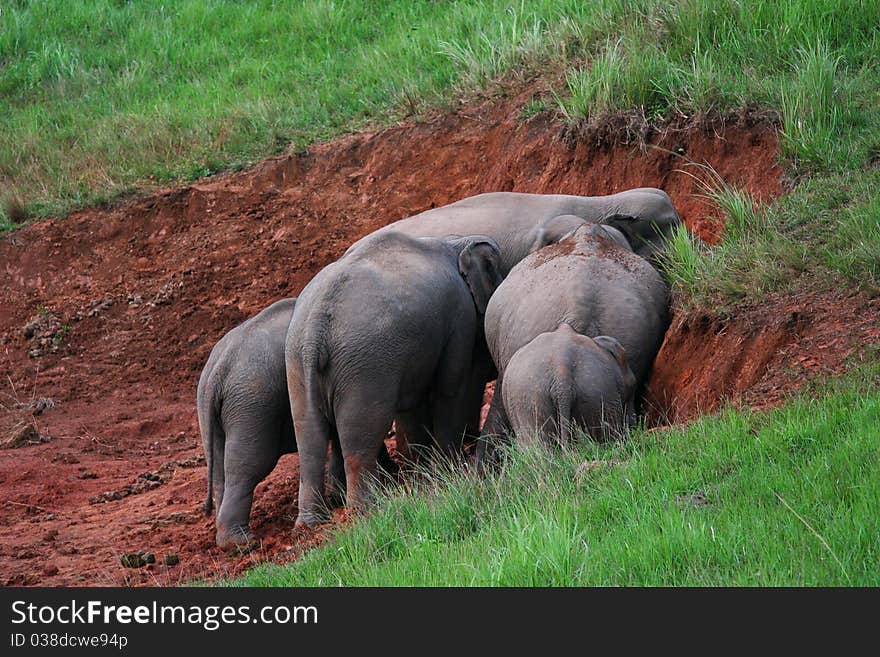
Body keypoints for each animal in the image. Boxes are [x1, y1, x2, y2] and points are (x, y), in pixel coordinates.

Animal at [199, 298, 396, 548]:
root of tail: (218, 371)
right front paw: (390, 475)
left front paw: (339, 495)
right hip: (252, 404)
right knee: (247, 466)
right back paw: (241, 543)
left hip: (213, 412)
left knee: (219, 474)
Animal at [288, 233, 502, 524]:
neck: (455, 243)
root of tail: (315, 327)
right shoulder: (460, 316)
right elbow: (451, 385)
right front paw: (447, 470)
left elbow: (412, 402)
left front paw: (422, 473)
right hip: (365, 365)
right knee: (360, 436)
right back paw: (365, 510)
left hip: (297, 363)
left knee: (309, 435)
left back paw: (311, 522)